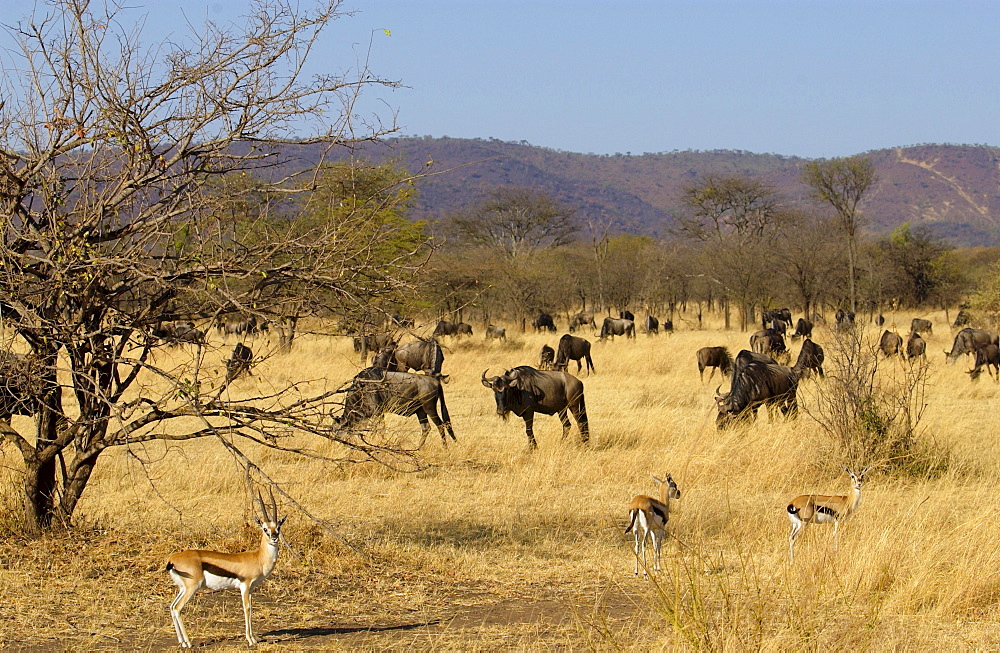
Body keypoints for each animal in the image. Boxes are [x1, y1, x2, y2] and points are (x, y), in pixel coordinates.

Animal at [167, 486, 286, 644]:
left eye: (278, 527)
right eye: (265, 528)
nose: (274, 538)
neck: (258, 558)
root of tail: (173, 559)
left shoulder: (251, 589)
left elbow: (251, 608)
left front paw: (253, 638)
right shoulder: (245, 586)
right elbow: (246, 608)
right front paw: (250, 640)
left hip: (182, 588)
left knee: (172, 606)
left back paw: (181, 641)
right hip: (192, 587)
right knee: (178, 608)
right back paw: (188, 643)